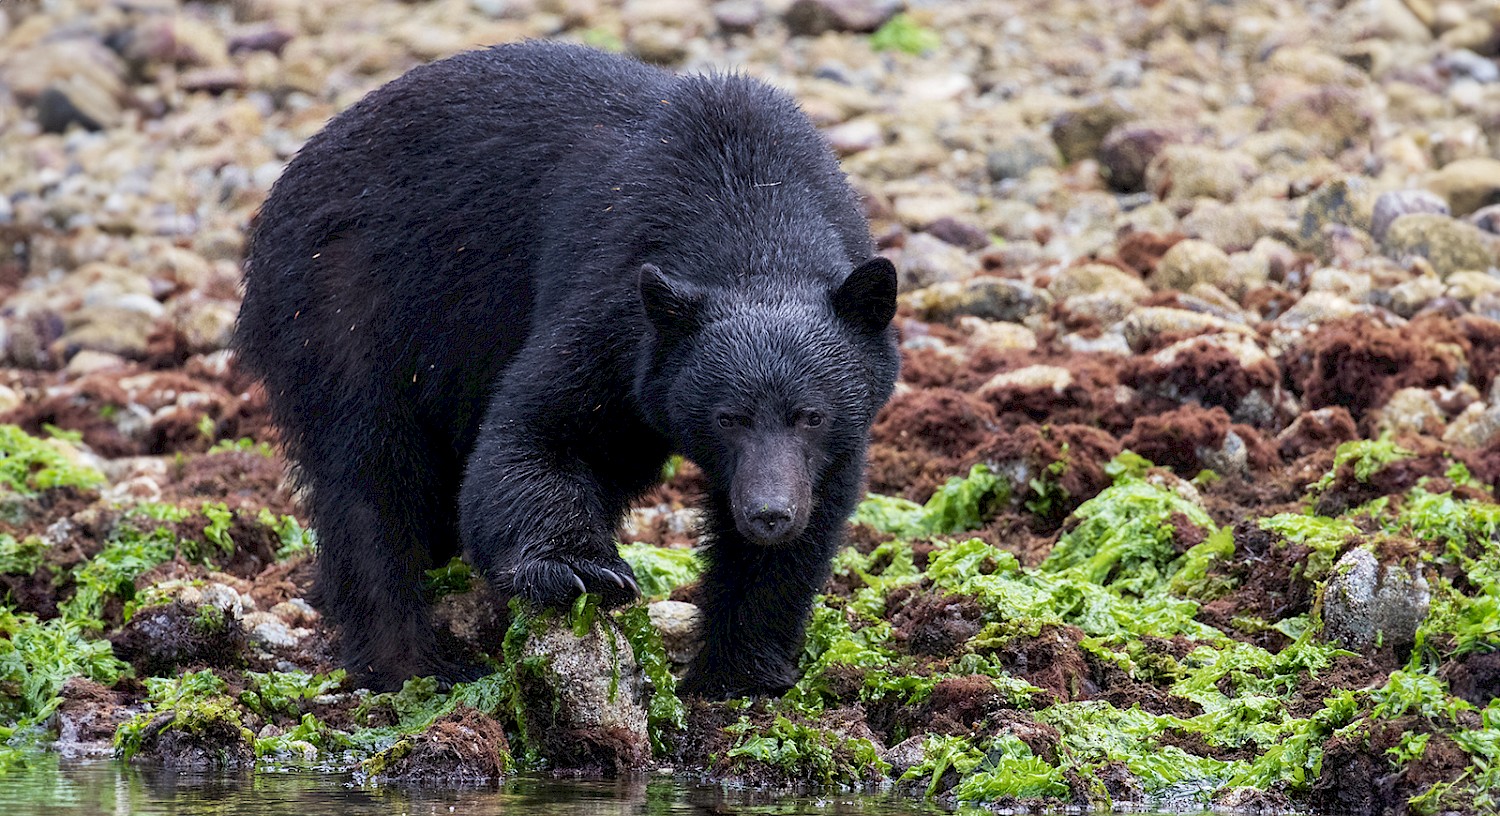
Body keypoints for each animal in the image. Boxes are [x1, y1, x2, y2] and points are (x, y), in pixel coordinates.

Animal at [233, 41, 899, 698]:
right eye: (728, 418)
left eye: (811, 416)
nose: (768, 513)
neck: (752, 207)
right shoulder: (613, 302)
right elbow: (540, 432)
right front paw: (581, 570)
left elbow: (806, 526)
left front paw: (739, 671)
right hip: (345, 302)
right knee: (369, 476)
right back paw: (411, 662)